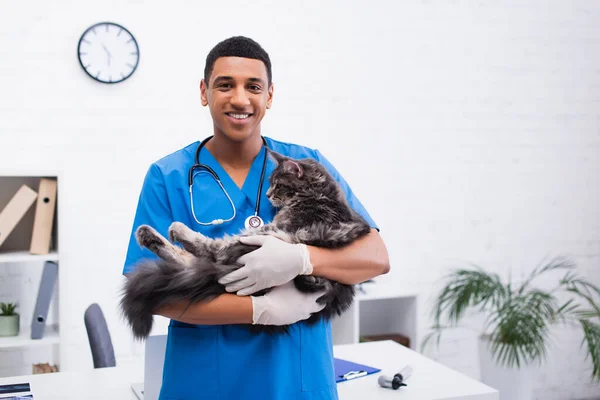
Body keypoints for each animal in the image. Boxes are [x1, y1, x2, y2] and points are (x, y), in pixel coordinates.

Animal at [120, 152, 372, 340]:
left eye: (278, 185)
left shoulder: (281, 226)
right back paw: (151, 236)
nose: (268, 194)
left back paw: (168, 231)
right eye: (270, 184)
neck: (321, 195)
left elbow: (212, 247)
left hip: (261, 239)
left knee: (210, 251)